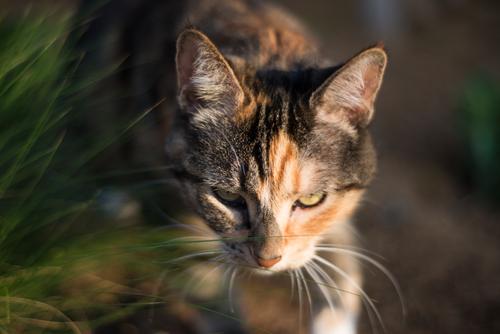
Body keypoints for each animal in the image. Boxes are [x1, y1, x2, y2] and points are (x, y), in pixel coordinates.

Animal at [78, 0, 388, 334]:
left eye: (310, 199)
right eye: (227, 197)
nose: (268, 260)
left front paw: (333, 316)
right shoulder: (165, 196)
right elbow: (203, 280)